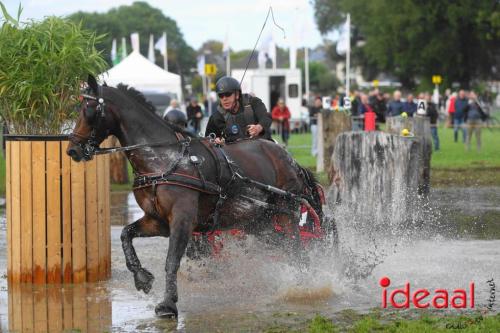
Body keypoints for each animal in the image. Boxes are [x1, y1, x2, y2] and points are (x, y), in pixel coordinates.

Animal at [67, 75, 324, 316]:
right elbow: (125, 234)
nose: (73, 150)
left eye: (88, 110)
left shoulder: (183, 219)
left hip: (286, 215)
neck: (164, 160)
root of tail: (291, 161)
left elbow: (172, 259)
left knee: (297, 249)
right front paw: (141, 278)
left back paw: (304, 285)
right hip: (260, 222)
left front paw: (168, 303)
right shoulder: (158, 221)